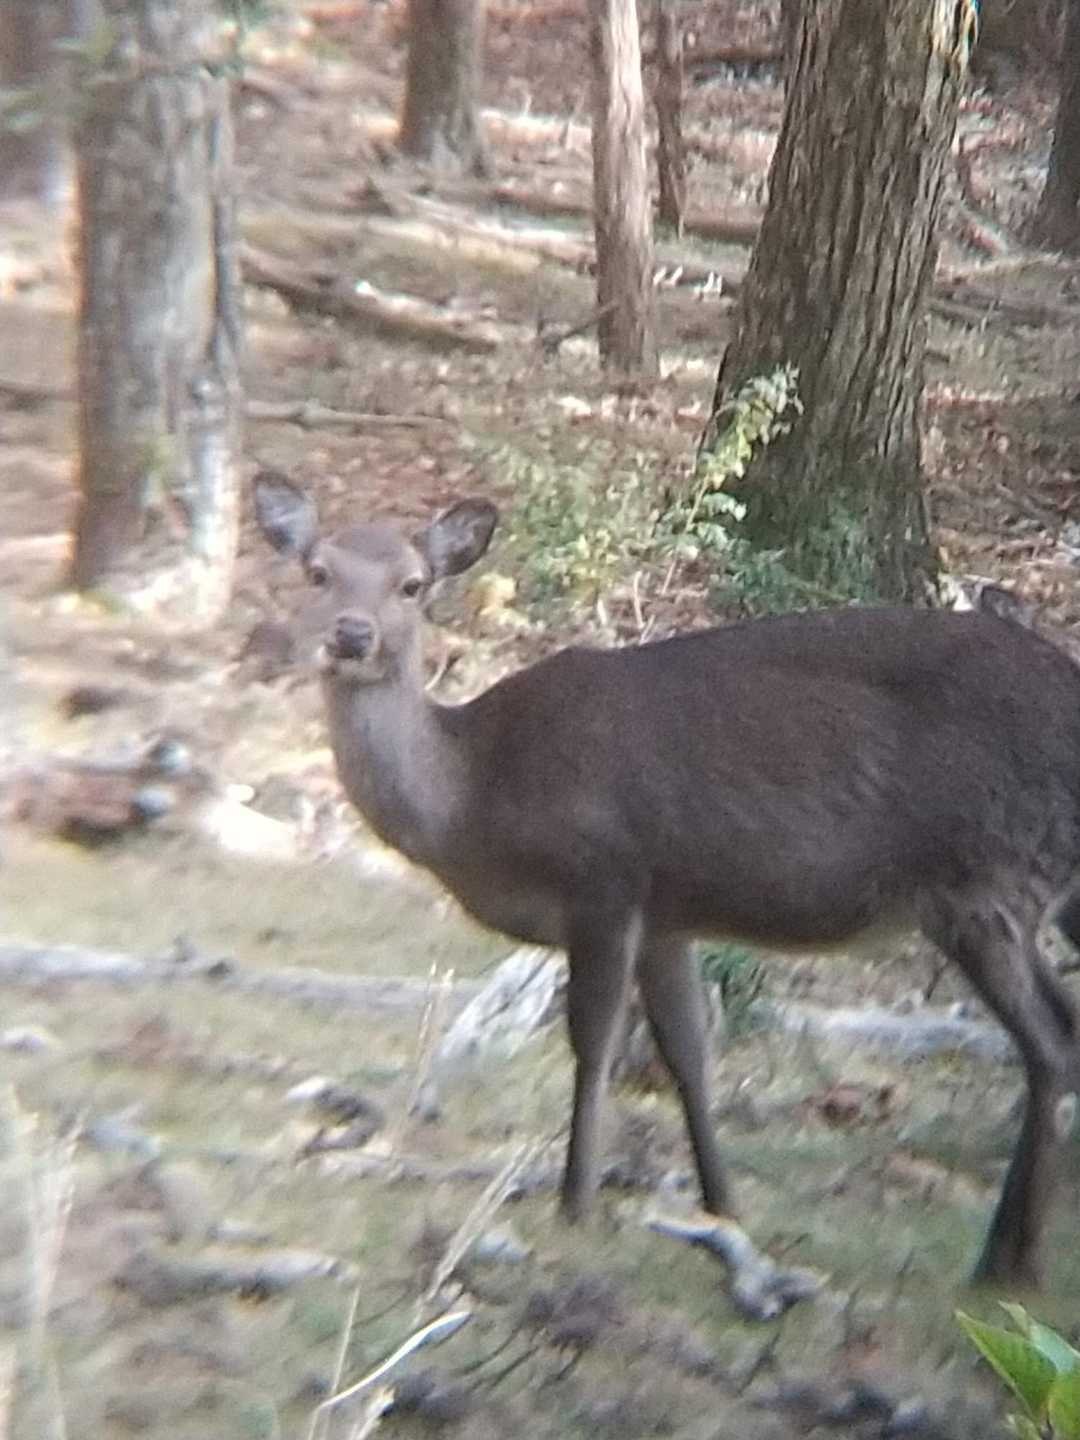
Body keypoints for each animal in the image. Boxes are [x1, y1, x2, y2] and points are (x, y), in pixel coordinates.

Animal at [254, 470, 1080, 1318]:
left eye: (414, 584)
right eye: (316, 570)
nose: (353, 635)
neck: (474, 800)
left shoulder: (605, 878)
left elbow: (593, 1042)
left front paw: (576, 1205)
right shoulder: (668, 918)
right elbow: (688, 1053)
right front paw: (725, 1211)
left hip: (982, 878)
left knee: (1051, 1042)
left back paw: (1009, 1264)